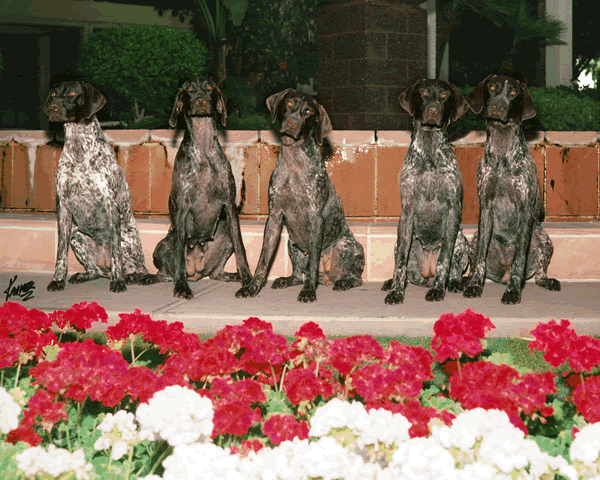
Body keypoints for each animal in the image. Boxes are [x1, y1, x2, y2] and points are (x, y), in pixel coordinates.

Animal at [44, 81, 158, 292]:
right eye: (54, 94)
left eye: (73, 93)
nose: (52, 108)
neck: (79, 149)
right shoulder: (63, 207)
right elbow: (60, 254)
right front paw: (57, 280)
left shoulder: (109, 203)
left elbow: (116, 254)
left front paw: (118, 281)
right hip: (76, 236)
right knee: (94, 270)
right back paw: (87, 274)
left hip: (125, 238)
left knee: (136, 267)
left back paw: (132, 276)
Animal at [152, 77, 253, 298]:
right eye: (189, 90)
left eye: (209, 88)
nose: (200, 101)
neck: (204, 149)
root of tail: (197, 270)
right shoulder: (182, 209)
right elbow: (179, 258)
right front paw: (181, 286)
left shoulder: (230, 208)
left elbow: (241, 249)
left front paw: (249, 281)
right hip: (162, 245)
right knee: (163, 272)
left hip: (224, 231)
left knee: (215, 272)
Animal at [382, 79, 472, 304]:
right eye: (423, 92)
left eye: (445, 95)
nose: (433, 110)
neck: (430, 150)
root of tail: (427, 273)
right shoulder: (407, 212)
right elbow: (400, 264)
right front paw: (396, 291)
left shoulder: (453, 209)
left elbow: (444, 260)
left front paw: (439, 289)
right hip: (399, 242)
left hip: (461, 240)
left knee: (454, 269)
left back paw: (453, 283)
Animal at [462, 74, 560, 304]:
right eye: (492, 87)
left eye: (513, 92)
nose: (498, 106)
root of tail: (502, 275)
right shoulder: (486, 207)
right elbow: (479, 260)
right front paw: (475, 286)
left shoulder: (524, 210)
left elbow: (519, 260)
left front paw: (513, 291)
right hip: (474, 239)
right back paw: (466, 280)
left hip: (543, 238)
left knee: (539, 274)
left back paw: (546, 281)